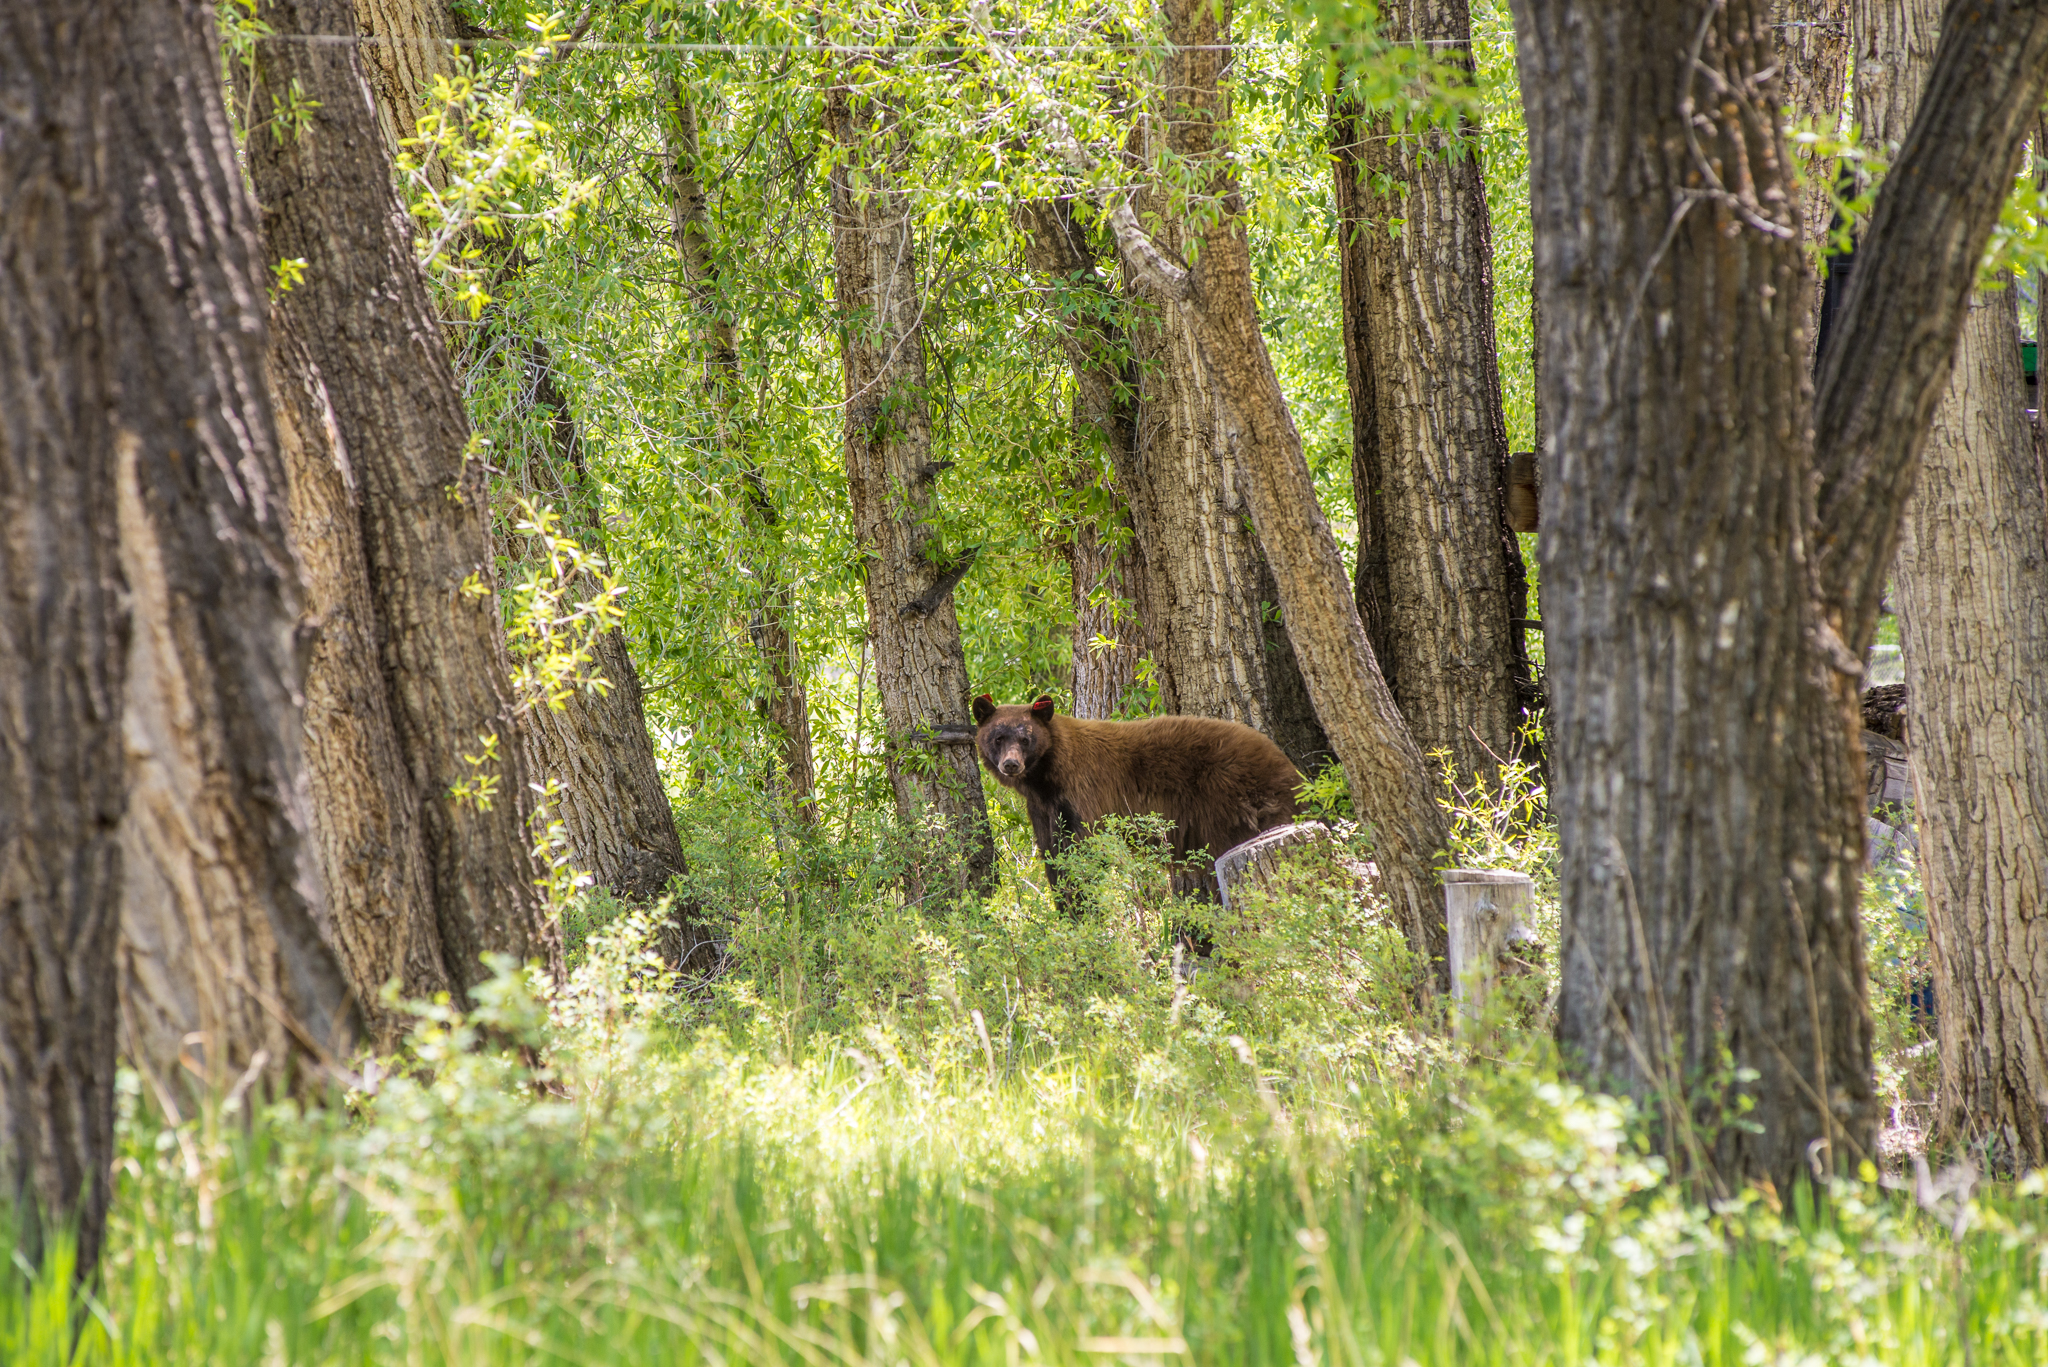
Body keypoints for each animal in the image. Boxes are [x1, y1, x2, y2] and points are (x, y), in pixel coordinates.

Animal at [970, 696, 1294, 909]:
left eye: (1026, 739)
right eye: (998, 738)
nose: (1011, 764)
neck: (1047, 778)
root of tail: (1287, 766)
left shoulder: (1084, 792)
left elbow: (1082, 850)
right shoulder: (1041, 808)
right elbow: (1053, 854)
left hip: (1230, 800)